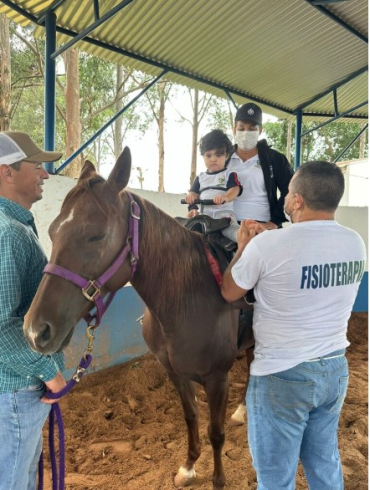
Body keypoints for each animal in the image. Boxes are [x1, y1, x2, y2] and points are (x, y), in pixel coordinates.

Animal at [23, 147, 254, 488]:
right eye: (52, 231)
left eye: (97, 235)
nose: (35, 331)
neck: (186, 296)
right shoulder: (175, 373)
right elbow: (191, 417)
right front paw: (189, 466)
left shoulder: (217, 378)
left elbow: (216, 432)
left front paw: (218, 480)